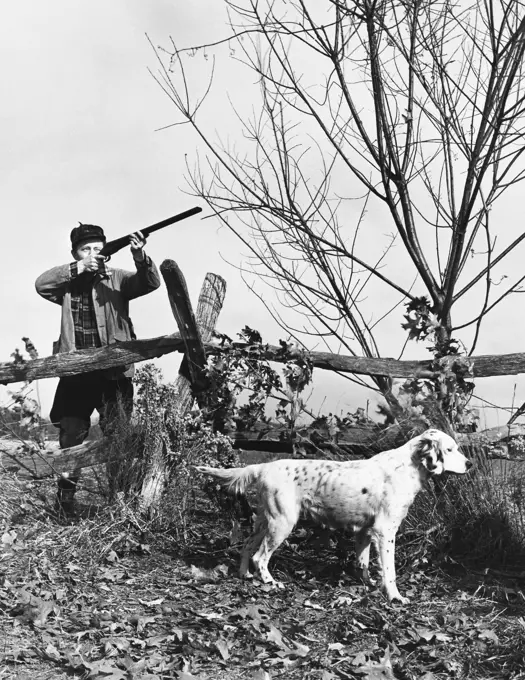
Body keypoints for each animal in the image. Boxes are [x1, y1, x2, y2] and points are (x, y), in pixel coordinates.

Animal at [195, 428, 470, 604]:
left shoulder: (365, 531)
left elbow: (363, 563)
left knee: (246, 547)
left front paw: (368, 585)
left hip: (265, 521)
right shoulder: (385, 531)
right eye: (450, 449)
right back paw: (271, 583)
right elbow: (389, 570)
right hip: (282, 523)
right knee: (260, 556)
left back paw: (245, 574)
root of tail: (264, 466)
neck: (408, 465)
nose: (469, 464)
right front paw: (394, 596)